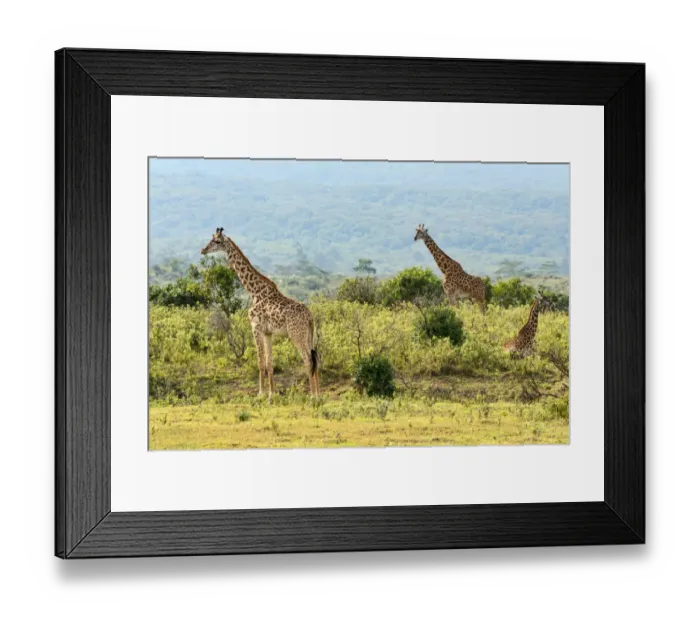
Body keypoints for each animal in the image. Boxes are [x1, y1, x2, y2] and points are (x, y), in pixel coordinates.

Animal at [201, 228, 320, 398]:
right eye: (211, 239)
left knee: (308, 360)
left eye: (216, 241)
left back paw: (312, 396)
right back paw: (319, 394)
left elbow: (260, 361)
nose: (203, 250)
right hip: (309, 335)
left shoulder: (255, 328)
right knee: (315, 357)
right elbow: (269, 362)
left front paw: (260, 393)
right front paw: (272, 394)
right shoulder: (267, 332)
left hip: (296, 334)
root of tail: (310, 317)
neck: (254, 292)